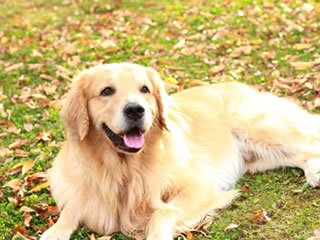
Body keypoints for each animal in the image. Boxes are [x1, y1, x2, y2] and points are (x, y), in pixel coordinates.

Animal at [41, 62, 320, 239]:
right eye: (106, 91)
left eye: (145, 89)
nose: (136, 110)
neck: (124, 168)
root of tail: (241, 85)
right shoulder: (83, 196)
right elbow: (68, 213)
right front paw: (53, 232)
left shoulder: (198, 188)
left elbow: (162, 213)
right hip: (260, 156)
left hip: (261, 129)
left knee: (310, 142)